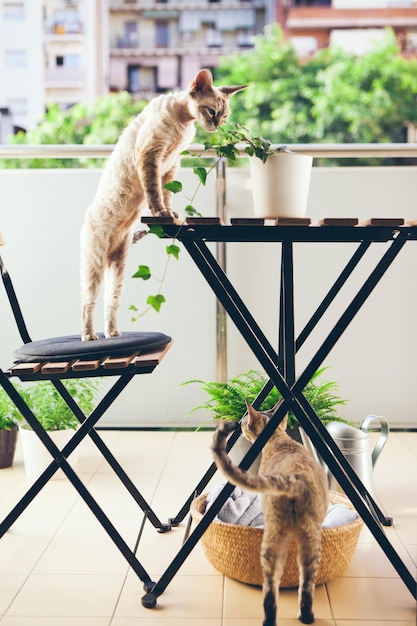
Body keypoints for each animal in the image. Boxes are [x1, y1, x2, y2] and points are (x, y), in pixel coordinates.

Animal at [79, 67, 245, 338]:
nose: (217, 124)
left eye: (225, 115)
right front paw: (161, 213)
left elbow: (166, 193)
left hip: (118, 269)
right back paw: (89, 337)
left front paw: (171, 213)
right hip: (94, 264)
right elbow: (154, 192)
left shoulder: (171, 165)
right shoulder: (151, 156)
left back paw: (113, 334)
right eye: (212, 112)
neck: (184, 125)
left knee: (110, 302)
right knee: (87, 301)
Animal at [211, 400, 328, 624]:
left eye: (244, 423)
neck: (279, 440)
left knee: (271, 589)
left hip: (275, 537)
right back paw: (306, 617)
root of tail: (293, 481)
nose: (239, 424)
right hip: (309, 540)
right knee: (304, 585)